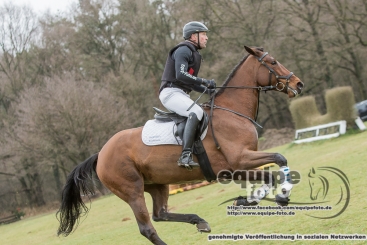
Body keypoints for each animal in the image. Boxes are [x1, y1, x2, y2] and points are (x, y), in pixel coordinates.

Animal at [56, 45, 304, 243]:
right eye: (273, 62)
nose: (299, 84)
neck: (232, 111)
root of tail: (100, 154)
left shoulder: (235, 168)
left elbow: (271, 174)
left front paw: (248, 200)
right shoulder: (239, 160)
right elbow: (279, 160)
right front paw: (275, 196)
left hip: (157, 184)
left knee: (160, 214)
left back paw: (199, 221)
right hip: (132, 191)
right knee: (147, 227)